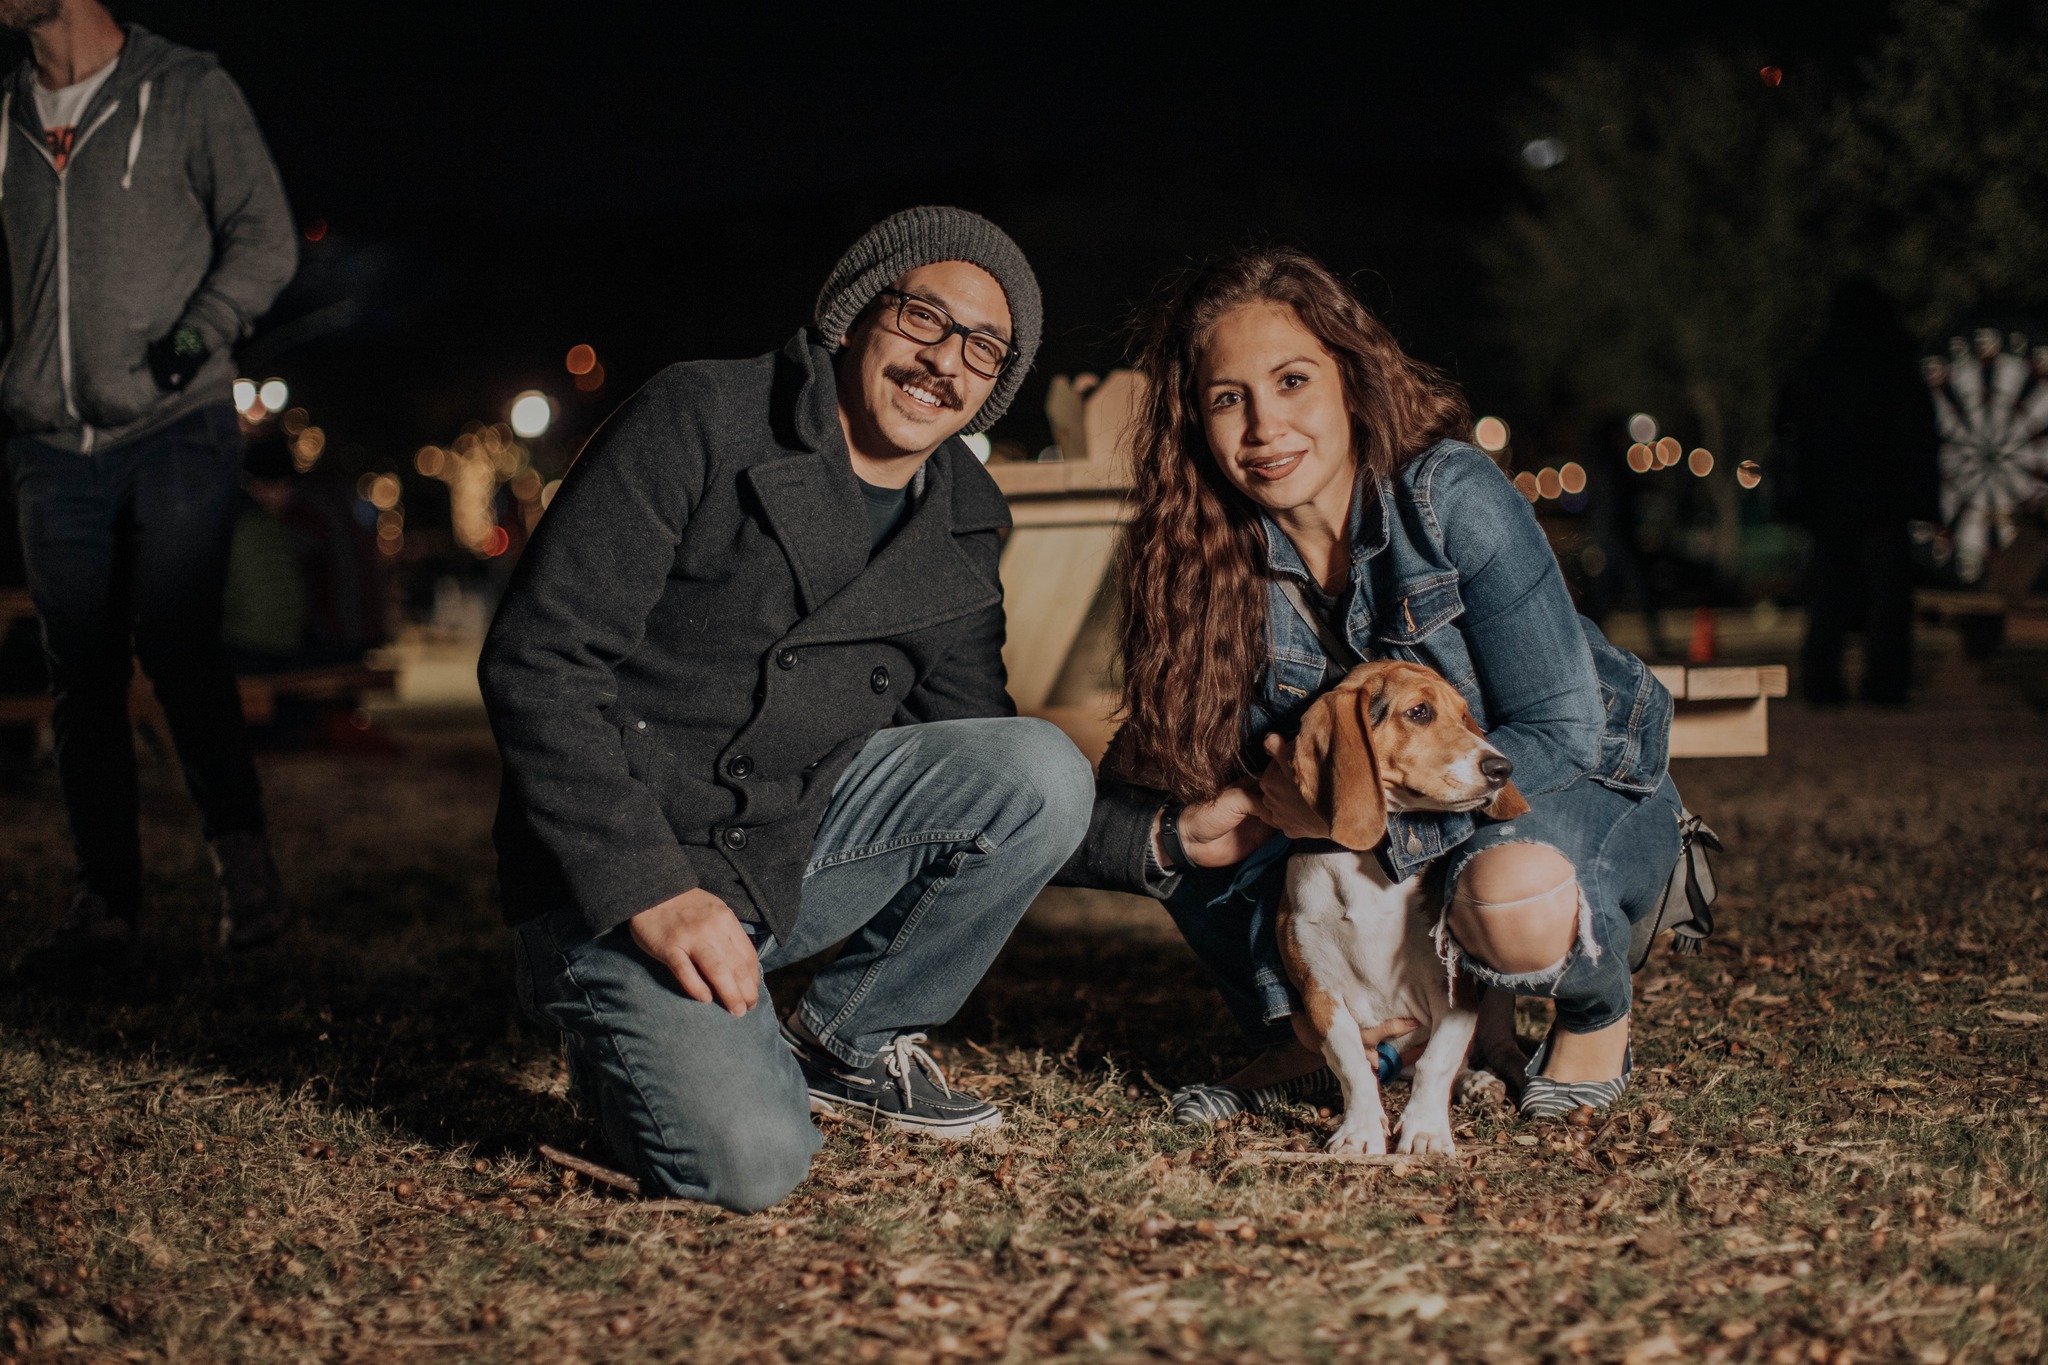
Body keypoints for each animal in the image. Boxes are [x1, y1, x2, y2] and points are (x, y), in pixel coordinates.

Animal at [1277, 658, 1523, 1154]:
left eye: (1465, 715)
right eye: (1419, 712)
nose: (1501, 767)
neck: (1370, 865)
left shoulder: (1455, 990)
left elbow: (1436, 1062)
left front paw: (1425, 1131)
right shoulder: (1320, 995)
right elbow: (1352, 1065)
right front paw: (1359, 1132)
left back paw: (1477, 1083)